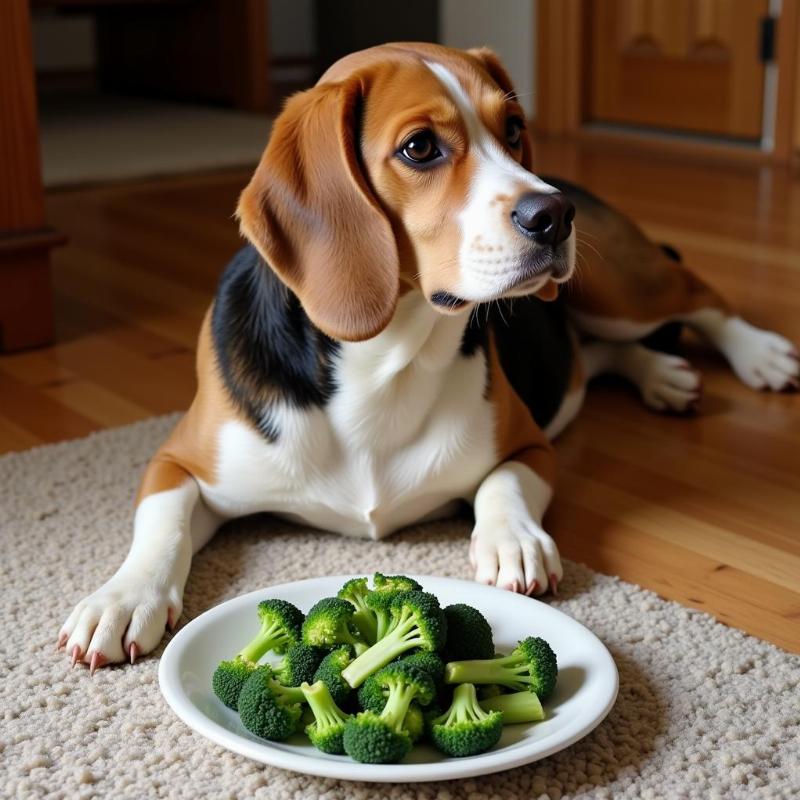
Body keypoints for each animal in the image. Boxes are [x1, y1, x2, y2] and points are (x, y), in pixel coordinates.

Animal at [57, 43, 800, 668]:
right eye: (419, 148)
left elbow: (502, 485)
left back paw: (759, 355)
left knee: (698, 296)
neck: (384, 359)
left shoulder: (530, 446)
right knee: (600, 354)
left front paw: (511, 540)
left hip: (615, 282)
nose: (553, 215)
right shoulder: (176, 461)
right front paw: (121, 598)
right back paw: (661, 374)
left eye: (513, 127)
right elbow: (162, 528)